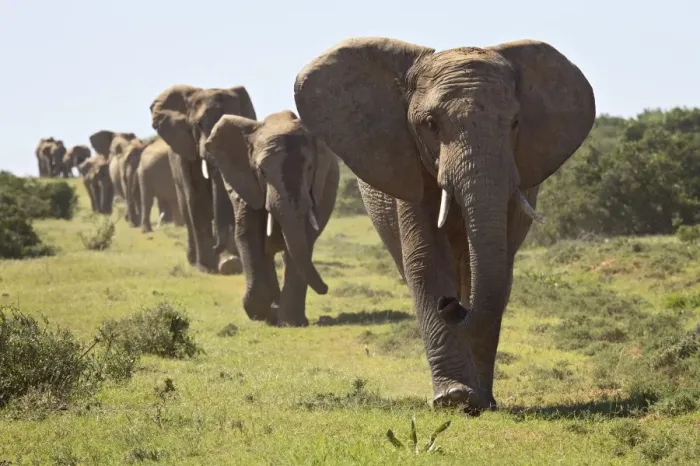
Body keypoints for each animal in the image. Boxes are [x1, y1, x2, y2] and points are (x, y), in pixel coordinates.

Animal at [149, 85, 256, 275]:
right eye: (199, 125)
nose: (218, 250)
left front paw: (231, 263)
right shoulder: (186, 150)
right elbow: (197, 199)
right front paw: (207, 267)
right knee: (186, 213)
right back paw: (193, 261)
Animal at [204, 110, 339, 326]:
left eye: (310, 169)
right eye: (261, 172)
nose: (326, 289)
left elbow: (304, 240)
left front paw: (291, 322)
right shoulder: (247, 184)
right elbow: (248, 234)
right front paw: (258, 313)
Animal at [294, 37, 595, 412]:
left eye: (514, 123)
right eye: (431, 124)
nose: (452, 306)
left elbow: (499, 267)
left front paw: (476, 401)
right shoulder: (408, 163)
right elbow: (425, 260)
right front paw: (453, 399)